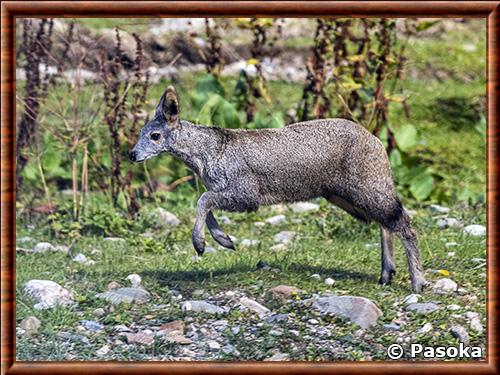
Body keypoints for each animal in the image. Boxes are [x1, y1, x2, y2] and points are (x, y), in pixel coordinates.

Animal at [129, 86, 426, 294]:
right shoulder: (226, 192)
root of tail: (378, 142)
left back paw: (417, 281)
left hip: (367, 190)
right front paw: (224, 240)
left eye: (155, 136)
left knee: (404, 222)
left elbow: (202, 200)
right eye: (141, 133)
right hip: (347, 198)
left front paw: (200, 244)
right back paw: (386, 274)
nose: (132, 154)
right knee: (387, 222)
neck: (208, 155)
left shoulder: (245, 195)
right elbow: (206, 205)